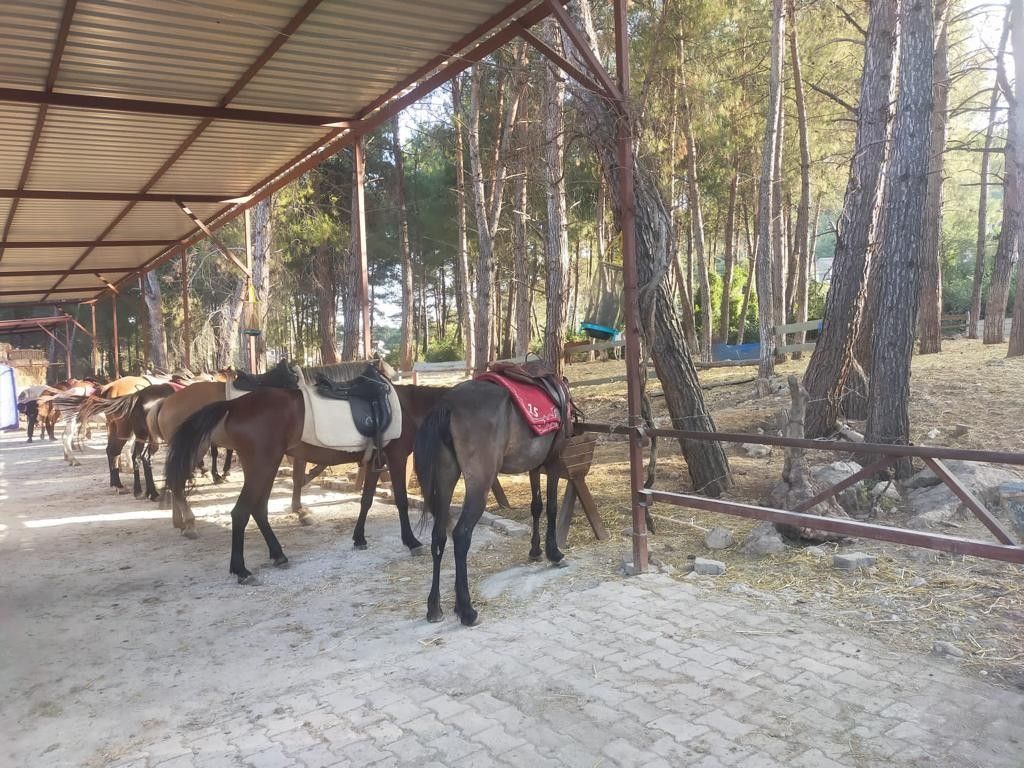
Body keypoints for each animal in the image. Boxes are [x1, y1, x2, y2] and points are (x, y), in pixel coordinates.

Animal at [162, 370, 444, 581]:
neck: (407, 408)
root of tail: (234, 404)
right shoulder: (396, 459)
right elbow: (401, 501)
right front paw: (412, 542)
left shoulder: (375, 460)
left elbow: (366, 501)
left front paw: (359, 538)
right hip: (261, 465)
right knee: (240, 512)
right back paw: (241, 569)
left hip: (266, 466)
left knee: (258, 510)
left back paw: (277, 555)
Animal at [415, 376, 577, 626]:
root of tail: (447, 404)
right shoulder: (553, 461)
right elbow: (551, 506)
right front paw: (554, 553)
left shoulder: (533, 465)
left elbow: (536, 506)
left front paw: (535, 550)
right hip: (479, 485)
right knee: (461, 535)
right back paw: (467, 610)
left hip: (444, 481)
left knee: (439, 537)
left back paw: (435, 608)